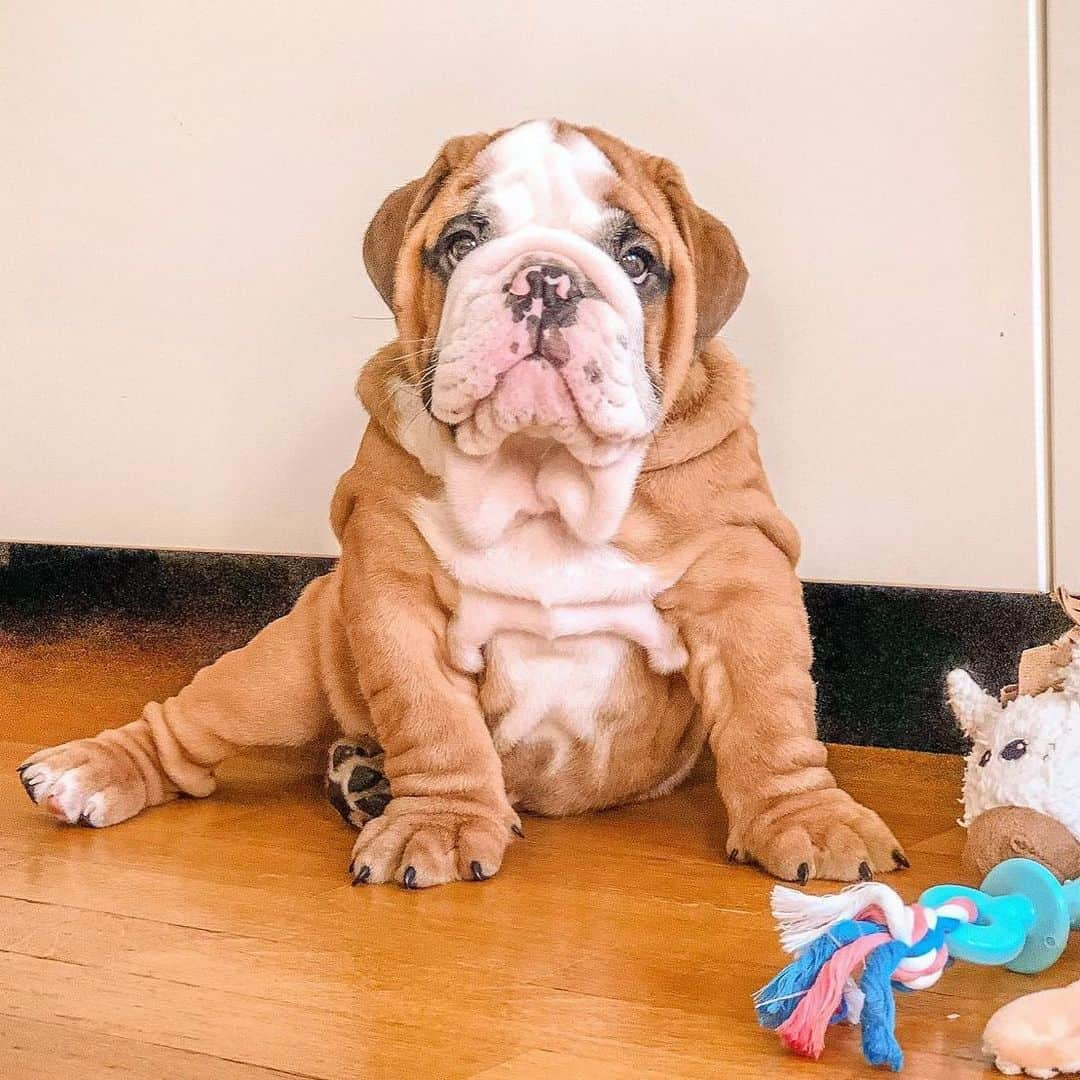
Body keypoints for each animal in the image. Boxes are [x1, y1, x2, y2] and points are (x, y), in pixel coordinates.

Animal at [16, 122, 902, 889]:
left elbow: (770, 716)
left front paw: (809, 818)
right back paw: (92, 771)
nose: (547, 277)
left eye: (638, 259)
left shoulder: (742, 579)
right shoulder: (390, 587)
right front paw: (437, 823)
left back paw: (364, 777)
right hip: (289, 662)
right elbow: (431, 717)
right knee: (186, 726)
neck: (543, 472)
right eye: (463, 243)